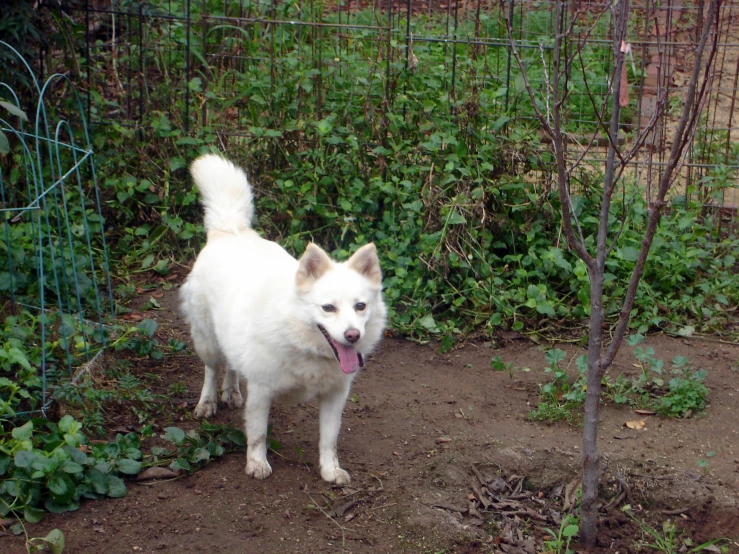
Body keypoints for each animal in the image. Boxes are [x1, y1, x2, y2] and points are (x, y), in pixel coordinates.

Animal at [180, 153, 388, 480]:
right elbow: (258, 434)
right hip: (207, 341)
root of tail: (230, 229)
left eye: (360, 306)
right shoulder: (262, 390)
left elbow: (329, 439)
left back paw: (232, 392)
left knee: (232, 366)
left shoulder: (335, 396)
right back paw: (208, 402)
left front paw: (330, 471)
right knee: (212, 369)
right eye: (328, 308)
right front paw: (257, 464)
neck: (300, 340)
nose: (353, 336)